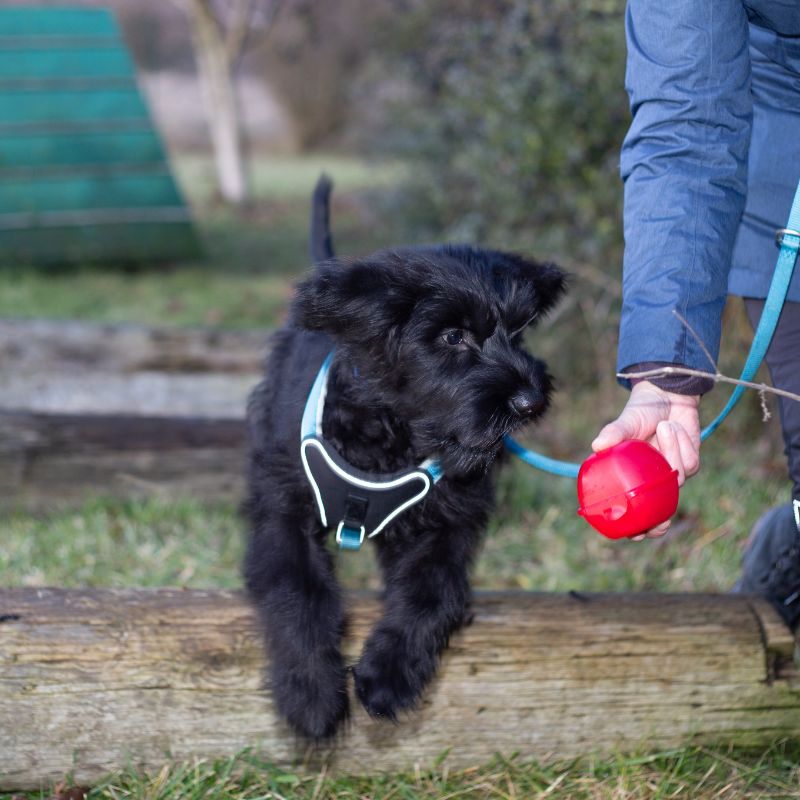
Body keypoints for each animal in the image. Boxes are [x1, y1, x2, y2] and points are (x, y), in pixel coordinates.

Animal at [242, 177, 564, 736]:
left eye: (519, 332)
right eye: (454, 336)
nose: (529, 400)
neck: (391, 436)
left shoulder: (448, 524)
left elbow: (429, 593)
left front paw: (388, 677)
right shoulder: (283, 509)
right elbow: (297, 589)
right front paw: (311, 693)